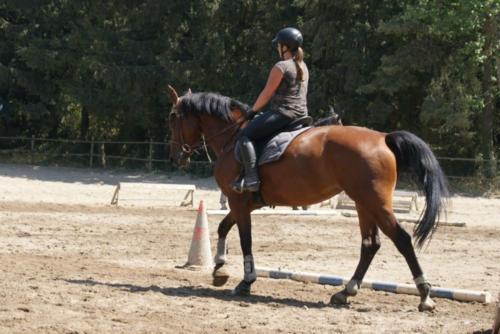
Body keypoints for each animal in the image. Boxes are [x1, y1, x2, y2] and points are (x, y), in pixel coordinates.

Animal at [168, 85, 450, 310]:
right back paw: (345, 291)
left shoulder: (239, 203)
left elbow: (245, 240)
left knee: (401, 239)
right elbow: (222, 227)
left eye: (173, 117)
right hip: (363, 203)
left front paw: (245, 282)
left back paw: (425, 295)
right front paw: (219, 268)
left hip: (375, 203)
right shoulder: (243, 204)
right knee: (370, 244)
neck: (233, 137)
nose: (176, 156)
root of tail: (383, 137)